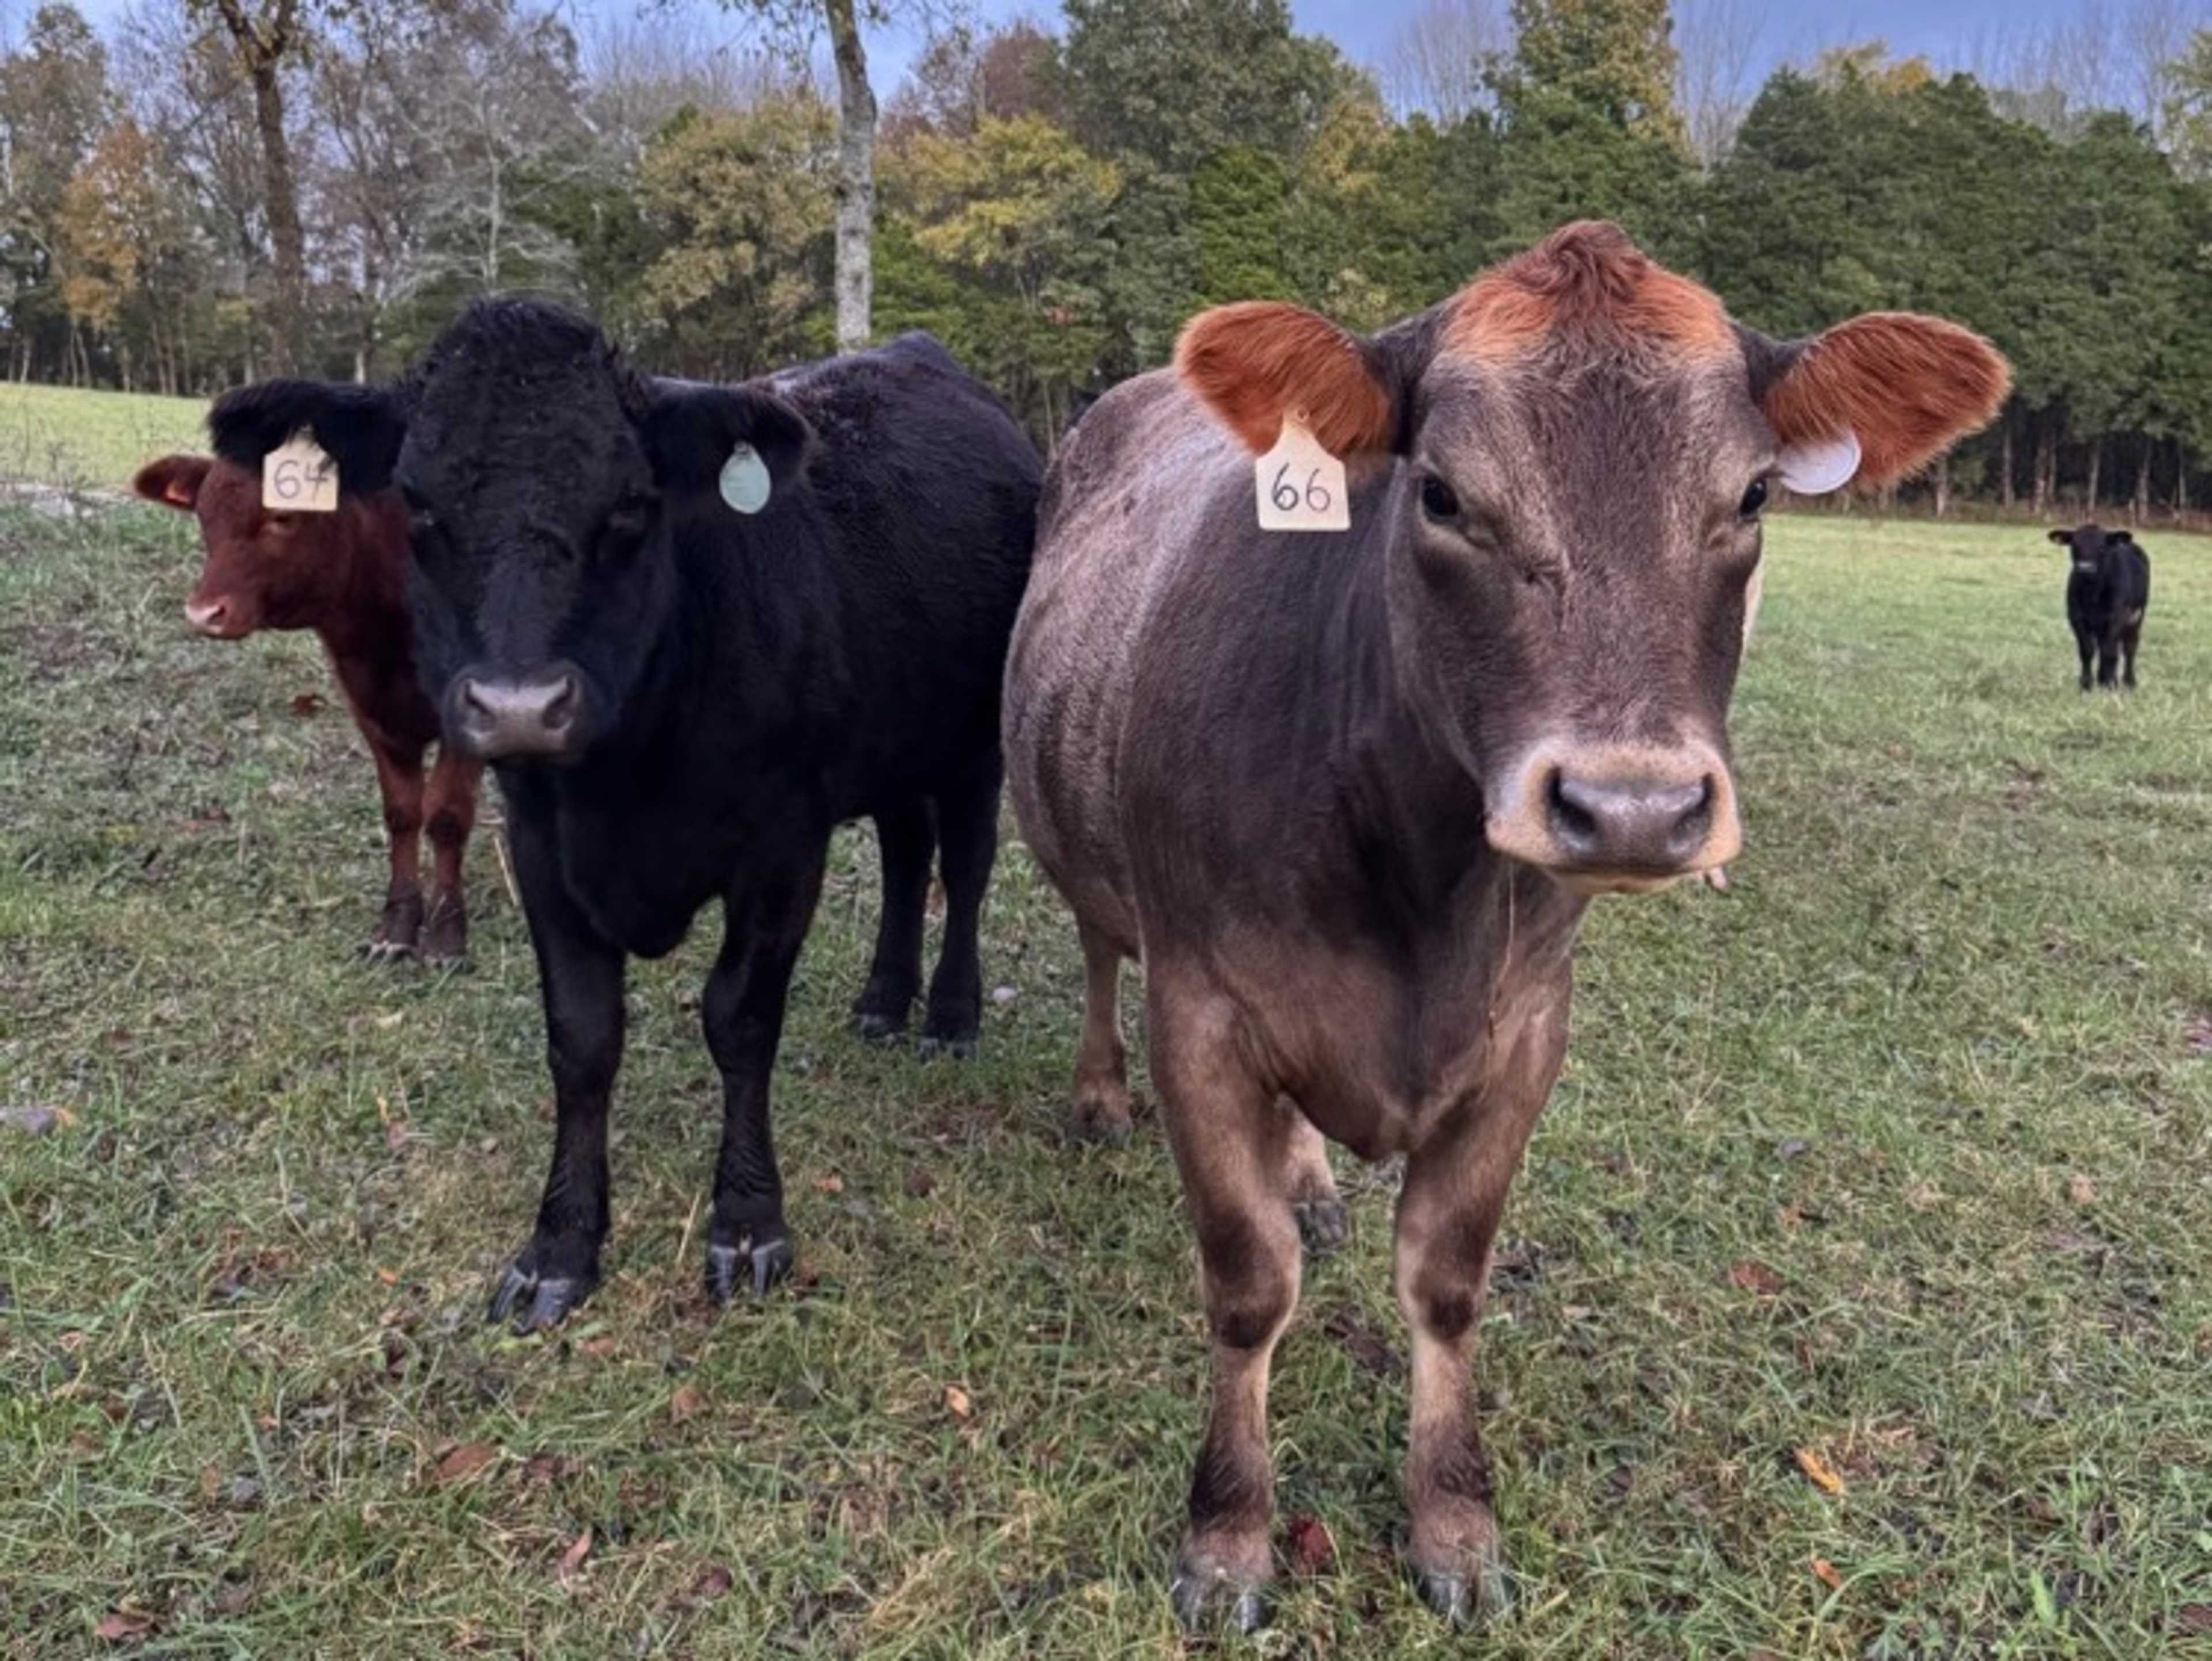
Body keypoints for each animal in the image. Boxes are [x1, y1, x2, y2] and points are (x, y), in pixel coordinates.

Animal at [131, 449, 481, 963]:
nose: (203, 613)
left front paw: (446, 935)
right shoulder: (370, 706)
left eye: (283, 516)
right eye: (203, 516)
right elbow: (401, 811)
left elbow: (447, 816)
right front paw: (395, 926)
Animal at [205, 301, 1041, 1331]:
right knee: (904, 850)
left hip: (975, 738)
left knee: (962, 866)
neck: (629, 777)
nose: (520, 707)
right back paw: (884, 1000)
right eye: (420, 508)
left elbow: (739, 1018)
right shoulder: (540, 847)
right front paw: (560, 1246)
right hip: (892, 742)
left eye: (633, 508)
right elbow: (583, 1035)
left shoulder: (783, 845)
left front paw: (748, 1225)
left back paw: (951, 1016)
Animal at [1003, 221, 2008, 1629]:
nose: (1635, 806)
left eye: (1754, 496)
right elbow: (1250, 1284)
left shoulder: (1527, 1029)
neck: (1417, 891)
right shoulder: (1197, 1006)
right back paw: (1101, 1094)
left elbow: (1446, 1276)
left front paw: (1454, 1522)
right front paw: (1229, 1533)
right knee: (1100, 942)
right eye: (1439, 494)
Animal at [2049, 523, 2149, 690]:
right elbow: (2087, 650)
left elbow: (2109, 652)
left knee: (2129, 648)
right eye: (2074, 545)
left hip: (2136, 617)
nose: (2085, 568)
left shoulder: (2117, 617)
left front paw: (2110, 683)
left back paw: (2129, 681)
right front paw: (2087, 683)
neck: (2093, 594)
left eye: (2102, 547)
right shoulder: (2076, 618)